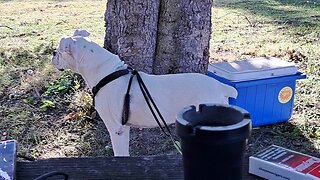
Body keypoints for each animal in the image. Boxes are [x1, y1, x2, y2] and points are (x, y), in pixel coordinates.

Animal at [52, 29, 238, 156]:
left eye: (59, 50)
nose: (53, 53)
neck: (106, 72)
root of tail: (221, 87)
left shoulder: (116, 129)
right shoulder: (124, 128)